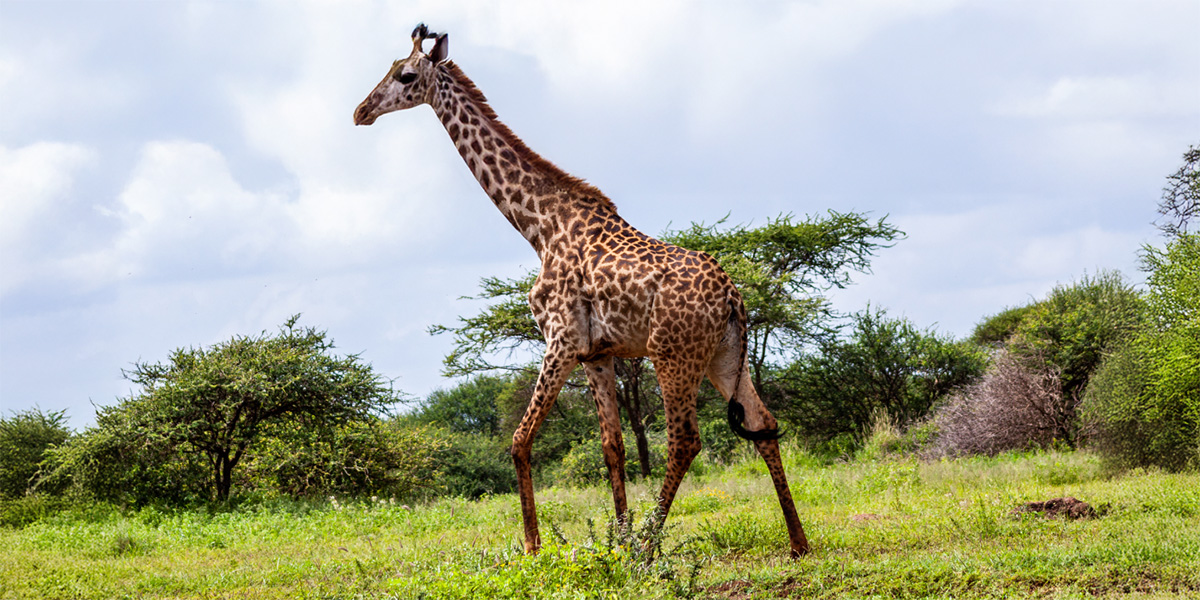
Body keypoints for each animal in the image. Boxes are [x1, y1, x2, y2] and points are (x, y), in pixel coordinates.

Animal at [354, 24, 810, 558]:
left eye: (406, 75)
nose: (361, 111)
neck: (539, 227)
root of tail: (734, 299)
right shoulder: (597, 353)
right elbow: (612, 446)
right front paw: (617, 538)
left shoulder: (562, 339)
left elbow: (520, 439)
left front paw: (535, 546)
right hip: (723, 356)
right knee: (762, 423)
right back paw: (797, 542)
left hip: (672, 355)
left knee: (684, 440)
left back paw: (649, 548)